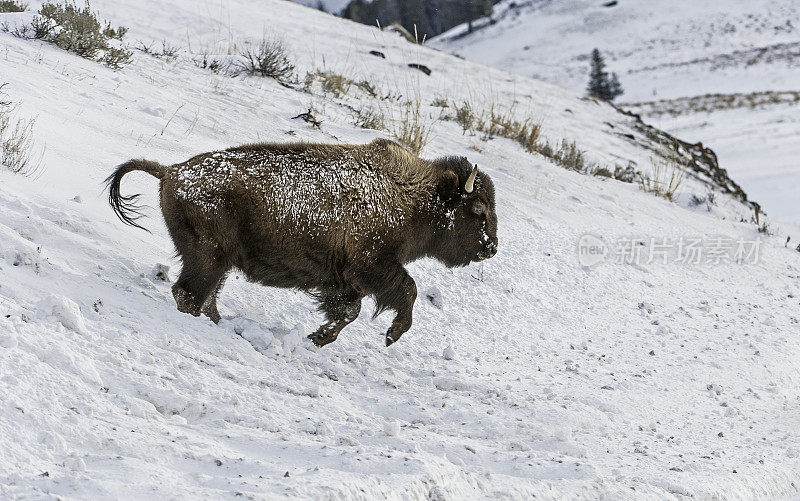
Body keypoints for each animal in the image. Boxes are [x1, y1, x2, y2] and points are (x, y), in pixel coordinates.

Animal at [104, 139, 496, 346]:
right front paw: (392, 335)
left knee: (207, 294)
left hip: (220, 260)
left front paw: (317, 338)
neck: (415, 198)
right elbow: (407, 291)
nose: (491, 247)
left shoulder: (345, 280)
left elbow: (348, 312)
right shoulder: (371, 266)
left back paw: (220, 323)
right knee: (189, 293)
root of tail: (170, 171)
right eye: (478, 209)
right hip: (207, 255)